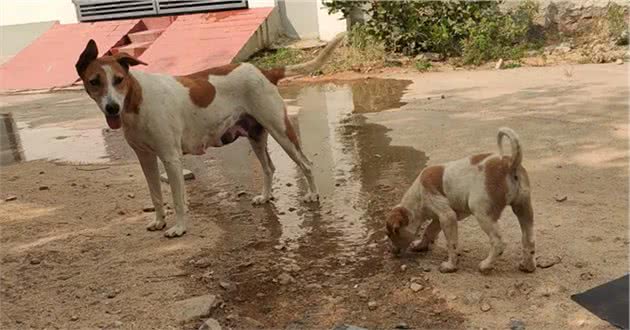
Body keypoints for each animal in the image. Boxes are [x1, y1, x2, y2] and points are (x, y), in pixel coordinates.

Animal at [76, 32, 348, 237]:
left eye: (119, 79)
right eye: (94, 81)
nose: (112, 107)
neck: (136, 100)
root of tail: (264, 71)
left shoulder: (171, 159)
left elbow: (177, 198)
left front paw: (179, 228)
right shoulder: (146, 159)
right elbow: (155, 195)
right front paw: (160, 221)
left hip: (281, 131)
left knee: (306, 163)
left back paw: (312, 194)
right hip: (256, 136)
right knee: (269, 168)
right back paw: (265, 196)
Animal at [386, 127, 540, 274]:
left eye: (391, 234)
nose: (390, 251)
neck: (417, 197)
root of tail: (509, 163)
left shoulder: (447, 217)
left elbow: (451, 244)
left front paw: (450, 266)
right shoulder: (440, 218)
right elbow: (429, 231)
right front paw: (420, 245)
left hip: (482, 212)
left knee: (498, 242)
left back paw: (486, 265)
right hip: (523, 208)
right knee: (529, 239)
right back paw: (528, 266)